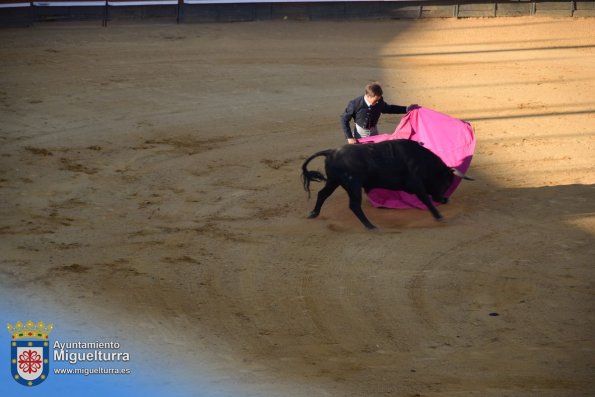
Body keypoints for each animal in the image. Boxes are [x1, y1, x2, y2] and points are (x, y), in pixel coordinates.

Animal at [302, 139, 474, 229]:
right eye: (446, 182)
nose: (444, 199)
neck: (423, 161)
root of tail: (331, 151)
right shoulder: (417, 184)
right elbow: (426, 199)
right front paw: (439, 217)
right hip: (353, 185)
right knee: (354, 205)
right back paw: (371, 226)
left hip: (334, 181)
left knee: (322, 194)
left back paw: (313, 213)